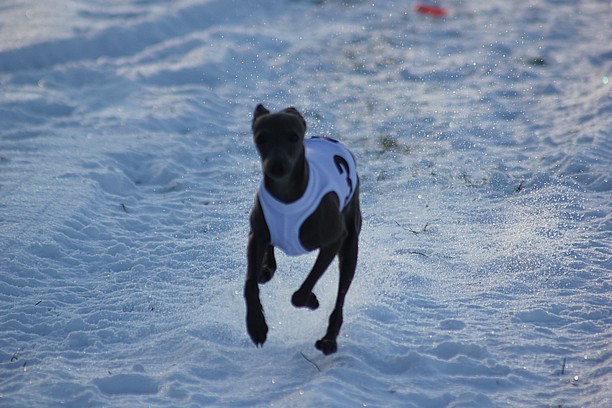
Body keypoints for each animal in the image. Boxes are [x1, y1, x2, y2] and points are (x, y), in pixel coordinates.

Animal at [244, 104, 360, 354]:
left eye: (294, 137)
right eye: (261, 138)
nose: (277, 167)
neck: (287, 196)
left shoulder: (334, 240)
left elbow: (301, 293)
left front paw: (311, 300)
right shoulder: (256, 235)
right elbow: (249, 283)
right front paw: (256, 325)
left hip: (350, 245)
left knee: (340, 296)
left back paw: (329, 340)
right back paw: (266, 269)